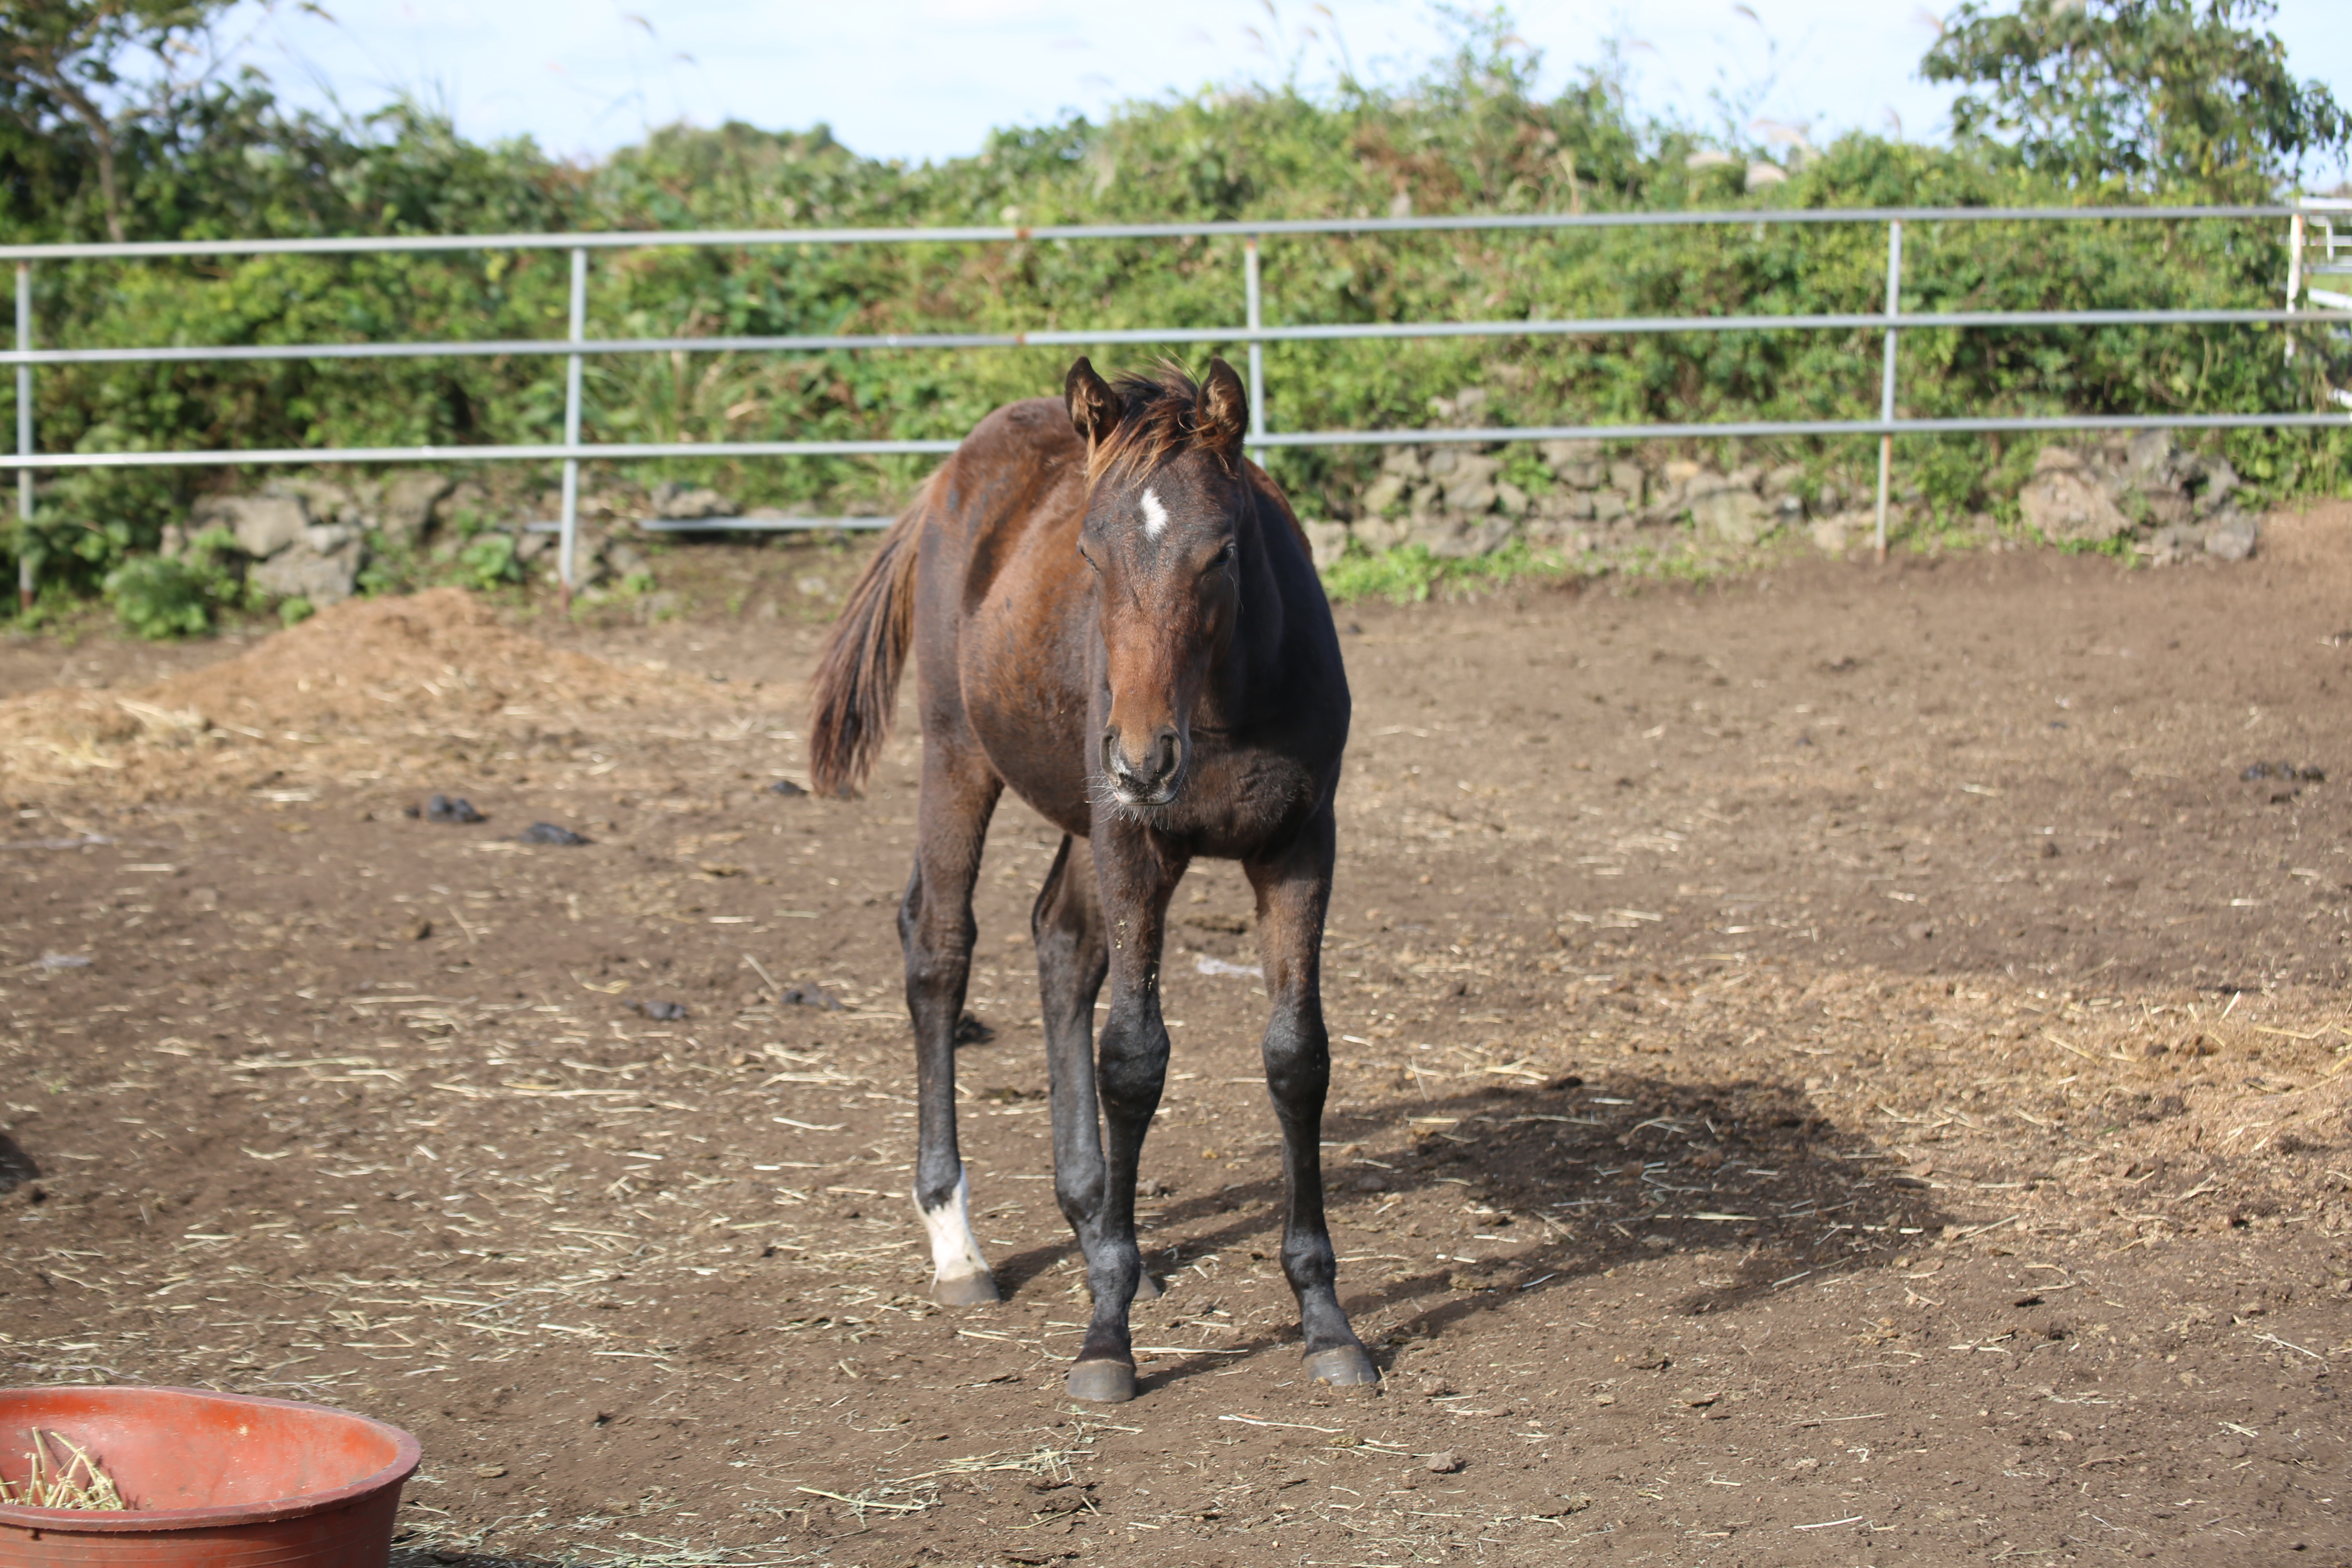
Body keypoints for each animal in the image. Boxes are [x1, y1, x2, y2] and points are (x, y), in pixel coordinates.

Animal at [813, 359, 1373, 1410]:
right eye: (1089, 553)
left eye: (1221, 552)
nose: (1144, 756)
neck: (1223, 703)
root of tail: (951, 472)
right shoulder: (1133, 841)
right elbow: (1134, 1059)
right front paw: (1106, 1338)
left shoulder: (1298, 845)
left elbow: (1297, 1057)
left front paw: (1325, 1320)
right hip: (964, 754)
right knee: (938, 946)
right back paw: (960, 1244)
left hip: (1087, 814)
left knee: (1059, 943)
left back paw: (1092, 1222)